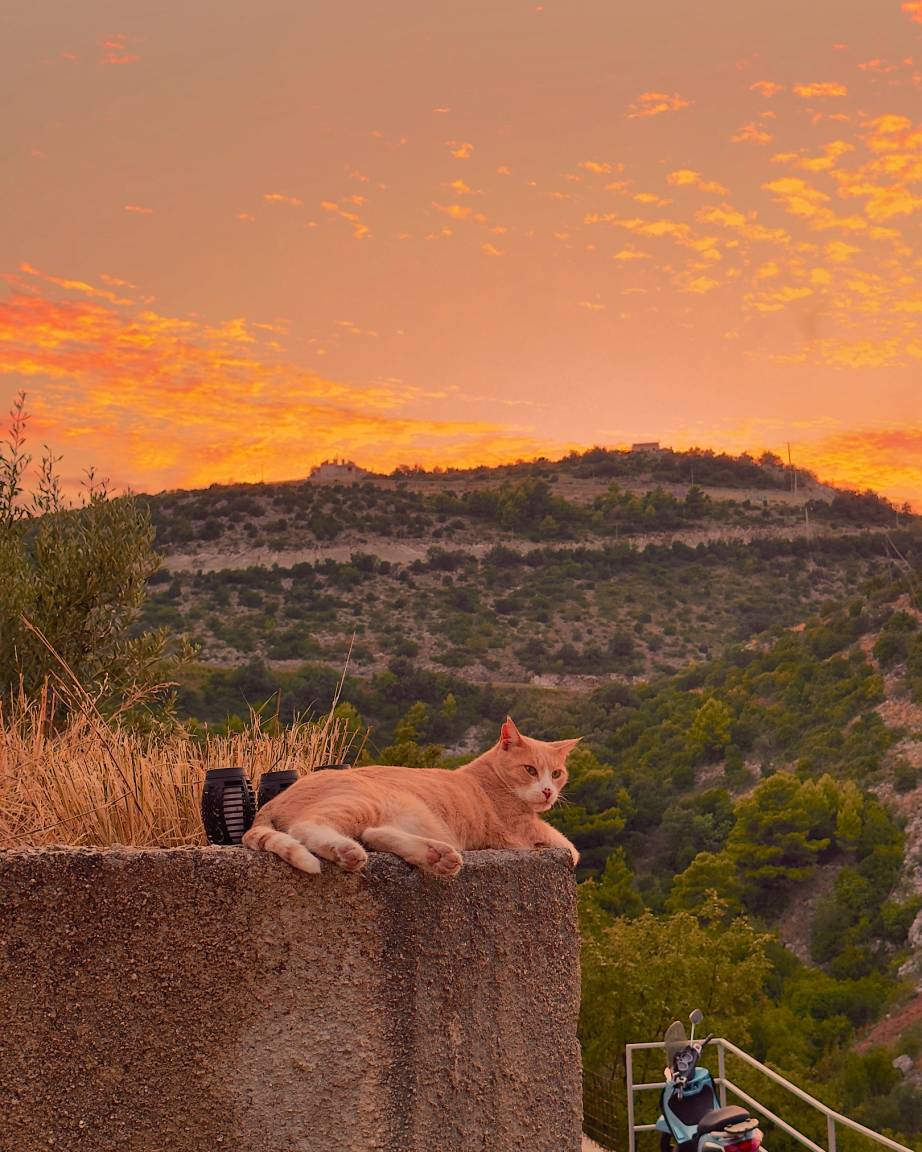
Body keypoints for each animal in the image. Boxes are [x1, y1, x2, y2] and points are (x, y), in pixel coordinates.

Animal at [242, 716, 580, 876]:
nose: (548, 791)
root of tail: (274, 801)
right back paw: (345, 851)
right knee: (306, 828)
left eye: (556, 774)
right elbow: (570, 847)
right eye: (530, 770)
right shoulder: (520, 832)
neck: (488, 777)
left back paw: (437, 857)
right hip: (363, 801)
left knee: (374, 833)